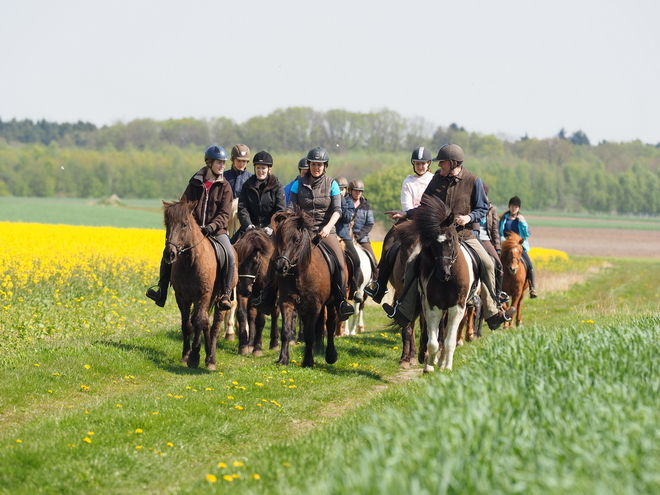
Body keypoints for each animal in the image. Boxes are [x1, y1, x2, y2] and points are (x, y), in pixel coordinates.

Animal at [162, 200, 237, 370]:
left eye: (184, 224)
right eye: (167, 224)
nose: (170, 254)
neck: (190, 261)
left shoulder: (203, 295)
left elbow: (199, 321)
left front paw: (195, 357)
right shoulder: (182, 297)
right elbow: (187, 324)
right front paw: (186, 356)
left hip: (219, 300)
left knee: (215, 326)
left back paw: (211, 359)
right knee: (206, 324)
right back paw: (207, 353)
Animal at [270, 210, 338, 368]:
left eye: (296, 240)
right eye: (280, 239)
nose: (281, 267)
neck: (300, 274)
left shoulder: (315, 306)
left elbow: (309, 334)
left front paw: (308, 361)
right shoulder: (287, 302)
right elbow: (286, 331)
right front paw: (283, 359)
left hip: (331, 303)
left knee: (330, 323)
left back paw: (331, 356)